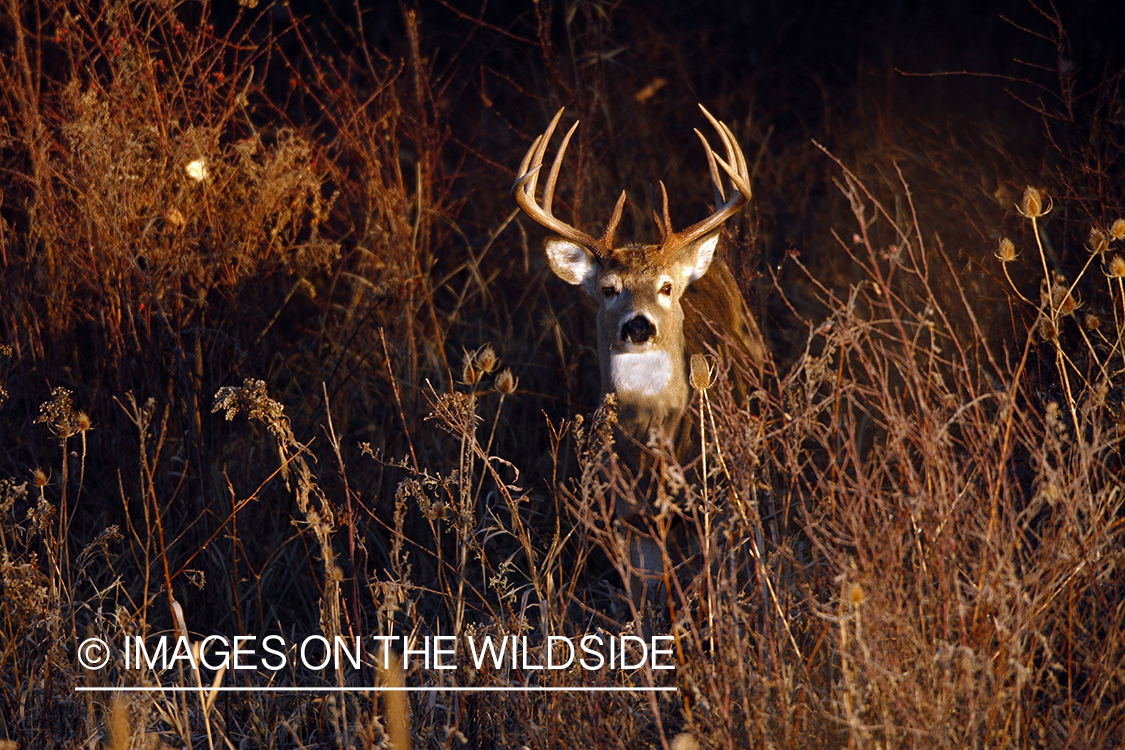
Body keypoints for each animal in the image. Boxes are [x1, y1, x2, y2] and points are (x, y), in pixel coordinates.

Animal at [513, 104, 765, 620]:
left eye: (666, 287)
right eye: (609, 289)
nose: (639, 326)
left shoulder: (711, 501)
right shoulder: (625, 519)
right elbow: (643, 603)